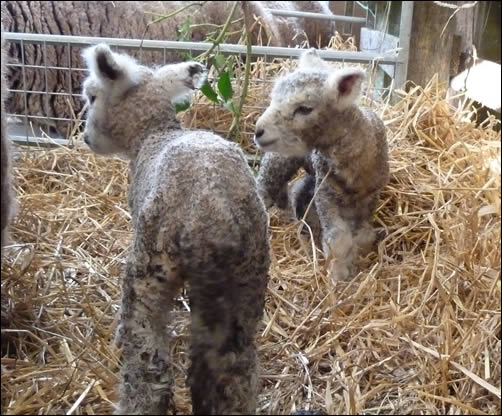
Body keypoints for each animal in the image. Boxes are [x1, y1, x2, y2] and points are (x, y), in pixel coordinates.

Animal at [81, 44, 270, 414]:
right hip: (246, 281)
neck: (153, 134)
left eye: (93, 97)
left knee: (148, 362)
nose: (85, 139)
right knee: (232, 371)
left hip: (150, 265)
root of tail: (213, 212)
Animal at [255, 48, 388, 282]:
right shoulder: (325, 193)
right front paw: (338, 275)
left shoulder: (370, 198)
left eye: (305, 108)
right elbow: (337, 239)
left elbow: (363, 235)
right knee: (265, 186)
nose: (258, 130)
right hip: (279, 159)